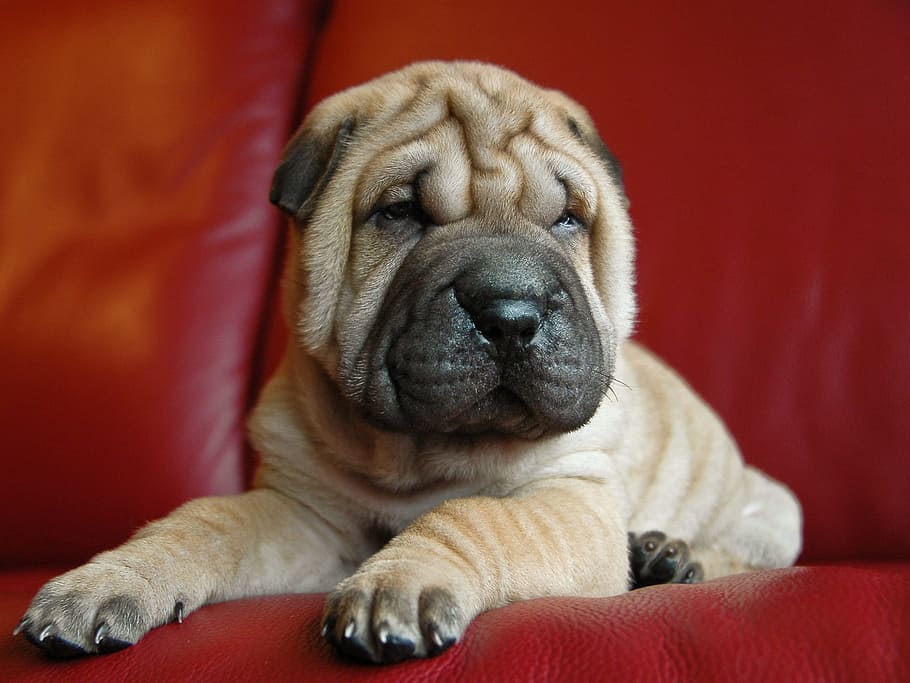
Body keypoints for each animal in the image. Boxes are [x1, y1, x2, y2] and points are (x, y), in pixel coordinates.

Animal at [14, 62, 800, 664]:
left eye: (568, 219)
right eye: (401, 213)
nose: (510, 311)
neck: (421, 455)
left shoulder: (568, 497)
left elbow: (477, 515)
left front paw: (403, 581)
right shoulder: (302, 513)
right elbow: (207, 520)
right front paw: (106, 580)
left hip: (770, 507)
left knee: (745, 556)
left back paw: (672, 557)